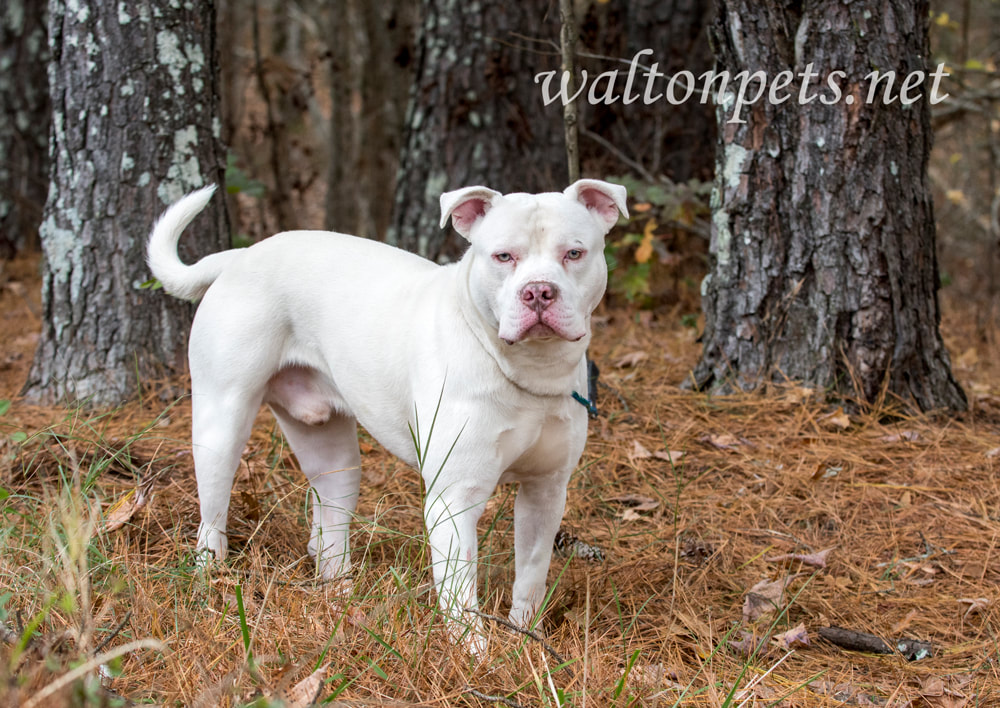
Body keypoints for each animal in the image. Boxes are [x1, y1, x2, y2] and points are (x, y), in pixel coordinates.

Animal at [147, 178, 624, 640]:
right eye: (503, 256)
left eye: (574, 253)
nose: (538, 291)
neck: (528, 369)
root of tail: (242, 255)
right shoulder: (454, 498)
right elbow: (459, 595)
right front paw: (473, 656)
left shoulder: (546, 492)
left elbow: (531, 575)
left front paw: (528, 640)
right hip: (221, 425)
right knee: (212, 518)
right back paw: (209, 583)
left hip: (333, 455)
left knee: (330, 523)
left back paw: (339, 596)